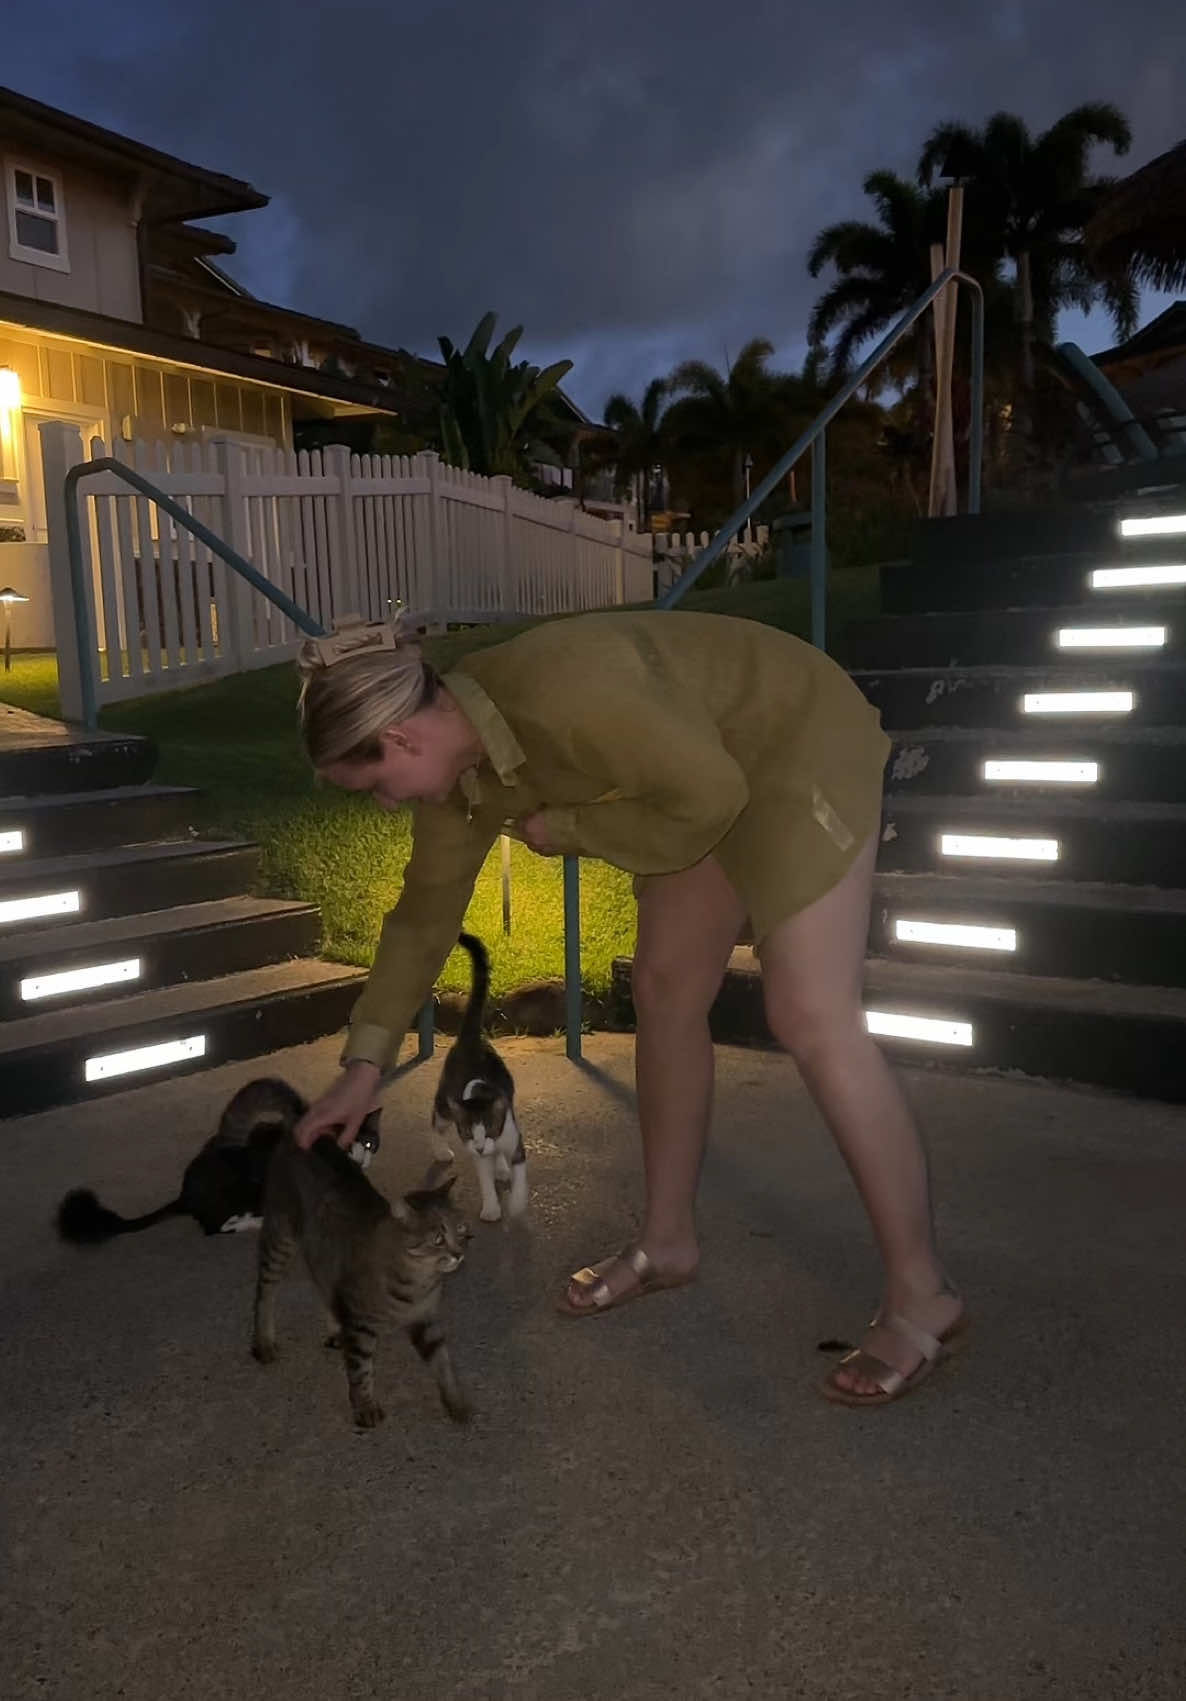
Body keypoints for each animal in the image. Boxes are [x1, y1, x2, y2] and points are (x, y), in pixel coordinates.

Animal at [55, 1078, 381, 1244]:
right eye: (347, 1143)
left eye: (369, 1143)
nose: (361, 1158)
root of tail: (185, 1195)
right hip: (239, 1192)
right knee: (213, 1227)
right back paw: (252, 1222)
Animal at [252, 1125, 472, 1430]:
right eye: (438, 1239)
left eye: (461, 1229)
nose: (459, 1254)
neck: (419, 1282)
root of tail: (297, 1131)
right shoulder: (361, 1326)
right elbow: (361, 1371)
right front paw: (365, 1406)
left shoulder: (425, 1319)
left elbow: (443, 1363)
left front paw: (456, 1402)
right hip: (280, 1238)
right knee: (265, 1292)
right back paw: (263, 1340)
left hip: (321, 1248)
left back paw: (335, 1328)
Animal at [431, 931, 527, 1224]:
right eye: (467, 1132)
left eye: (489, 1127)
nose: (481, 1146)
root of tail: (470, 1038)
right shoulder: (477, 1153)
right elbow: (485, 1180)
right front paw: (492, 1209)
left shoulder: (514, 1139)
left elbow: (520, 1175)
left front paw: (516, 1205)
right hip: (445, 1101)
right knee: (436, 1121)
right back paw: (441, 1150)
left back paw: (502, 1168)